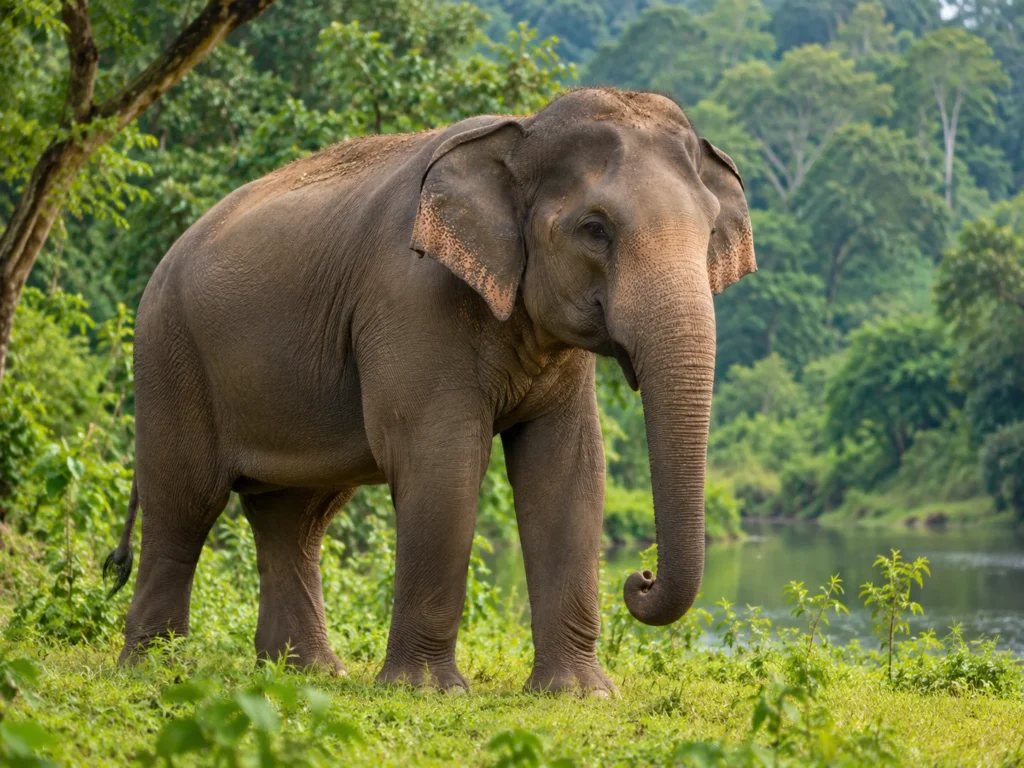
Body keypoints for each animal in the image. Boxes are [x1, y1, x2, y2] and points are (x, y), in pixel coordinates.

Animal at [104, 87, 756, 694]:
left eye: (708, 233)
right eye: (595, 230)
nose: (639, 579)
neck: (519, 133)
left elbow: (567, 469)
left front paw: (579, 695)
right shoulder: (410, 300)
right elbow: (442, 462)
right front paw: (427, 691)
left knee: (293, 519)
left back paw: (307, 673)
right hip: (170, 356)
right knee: (183, 505)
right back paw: (155, 669)